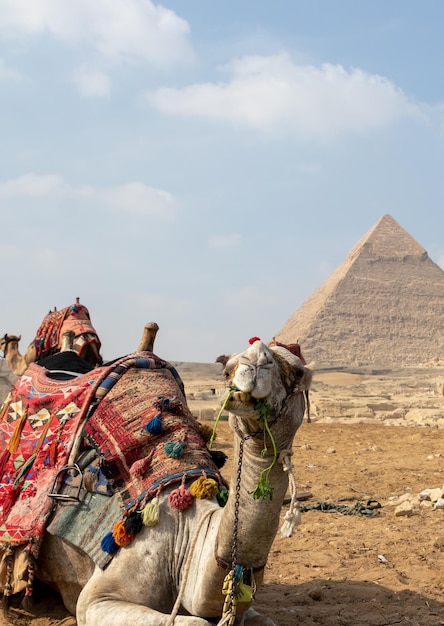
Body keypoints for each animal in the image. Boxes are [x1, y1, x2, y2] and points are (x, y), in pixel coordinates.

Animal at [0, 332, 312, 624]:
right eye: (227, 370)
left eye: (298, 372)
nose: (253, 363)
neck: (184, 539)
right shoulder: (96, 599)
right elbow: (195, 622)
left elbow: (264, 620)